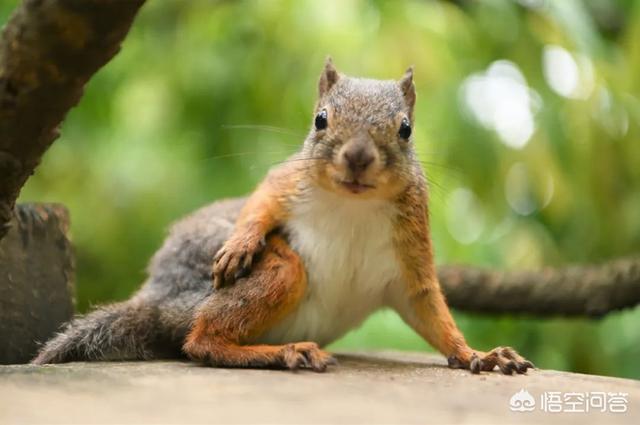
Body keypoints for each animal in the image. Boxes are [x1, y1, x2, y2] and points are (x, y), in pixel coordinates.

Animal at [32, 58, 532, 372]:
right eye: (320, 120)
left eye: (405, 129)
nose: (357, 158)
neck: (353, 206)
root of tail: (154, 297)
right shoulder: (287, 181)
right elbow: (261, 201)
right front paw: (239, 244)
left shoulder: (410, 249)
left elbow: (430, 309)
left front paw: (479, 355)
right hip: (259, 276)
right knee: (201, 341)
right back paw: (284, 352)